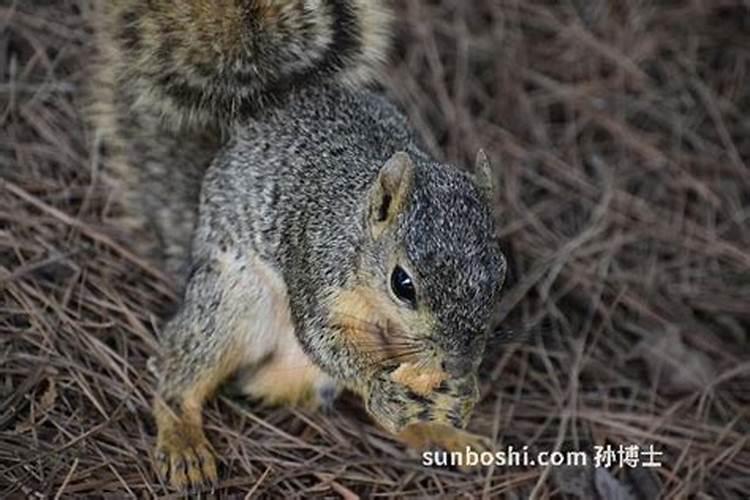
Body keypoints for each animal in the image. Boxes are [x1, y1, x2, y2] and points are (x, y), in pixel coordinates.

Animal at [91, 0, 508, 490]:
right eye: (402, 284)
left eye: (501, 275)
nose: (460, 364)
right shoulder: (315, 267)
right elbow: (323, 339)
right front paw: (380, 384)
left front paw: (463, 390)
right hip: (233, 303)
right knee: (181, 369)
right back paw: (183, 441)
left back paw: (445, 434)